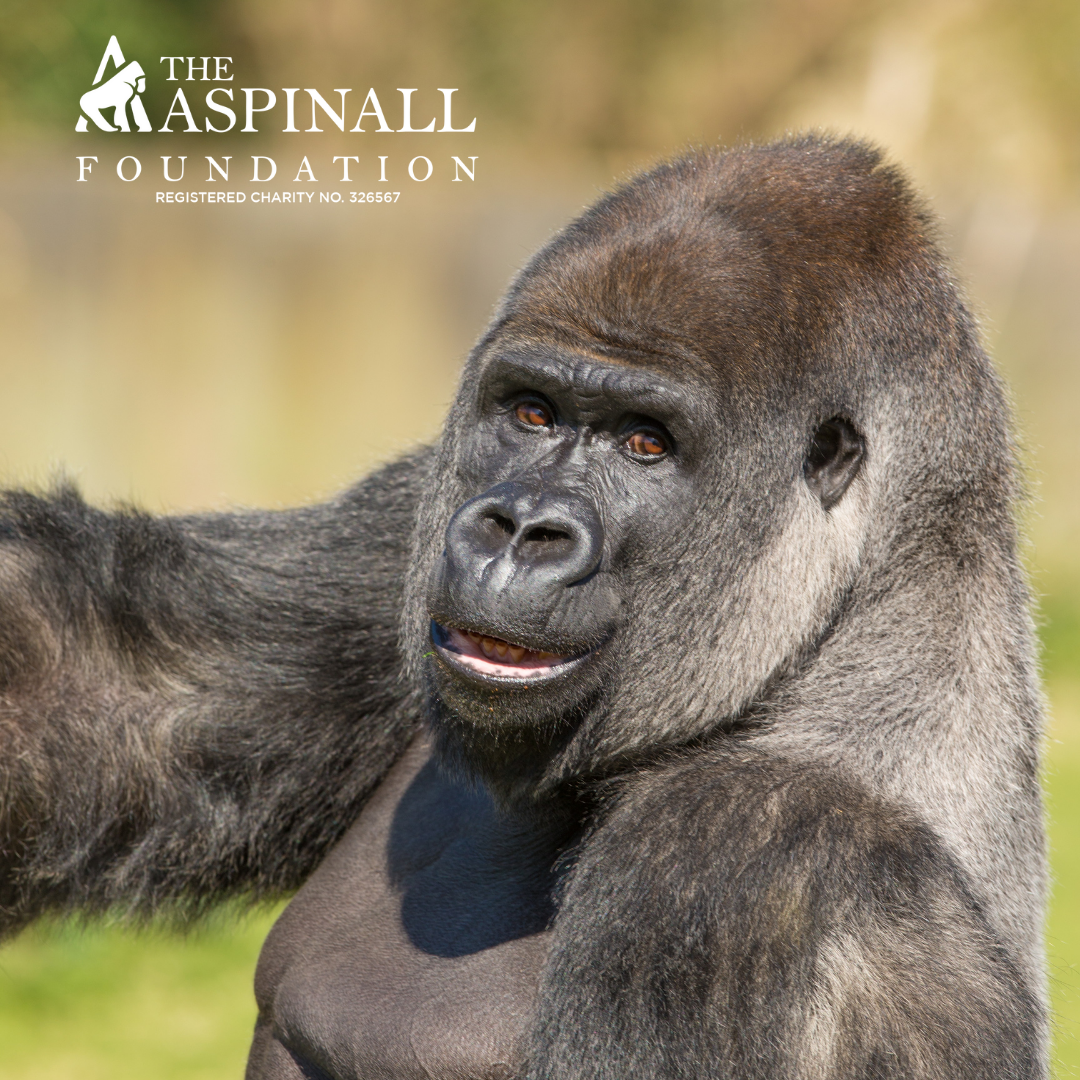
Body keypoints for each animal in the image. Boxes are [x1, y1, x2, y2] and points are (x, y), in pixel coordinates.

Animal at [0, 135, 1047, 1079]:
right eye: (531, 412)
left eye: (646, 443)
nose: (519, 531)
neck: (856, 617)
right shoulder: (411, 510)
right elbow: (98, 676)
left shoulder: (759, 854)